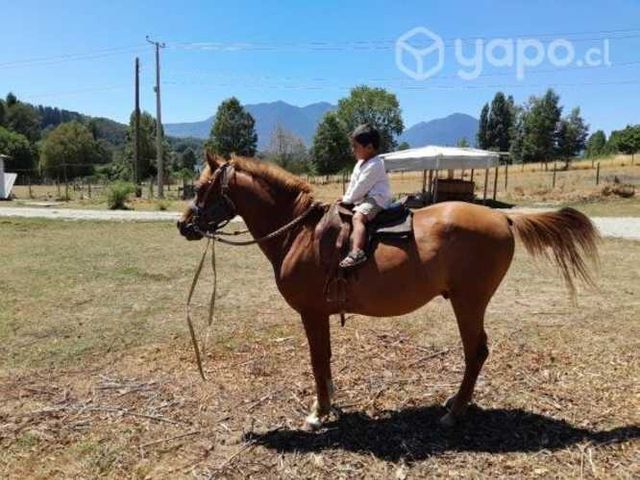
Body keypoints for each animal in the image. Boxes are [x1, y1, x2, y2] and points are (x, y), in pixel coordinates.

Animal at [177, 152, 599, 430]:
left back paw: (454, 411)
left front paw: (319, 412)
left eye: (201, 187)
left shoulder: (311, 313)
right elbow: (325, 360)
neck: (299, 232)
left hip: (469, 302)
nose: (184, 225)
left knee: (476, 351)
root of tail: (503, 217)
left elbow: (317, 361)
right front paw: (329, 404)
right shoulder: (320, 315)